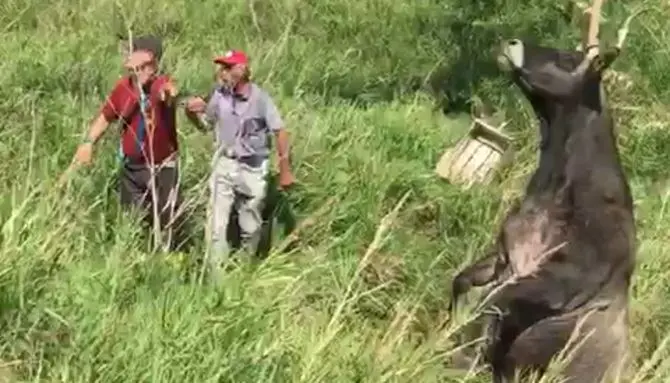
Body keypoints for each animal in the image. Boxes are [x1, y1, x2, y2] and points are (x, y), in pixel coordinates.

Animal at [448, 3, 636, 383]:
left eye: (567, 58)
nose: (511, 42)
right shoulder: (504, 257)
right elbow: (462, 283)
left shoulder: (560, 280)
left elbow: (490, 306)